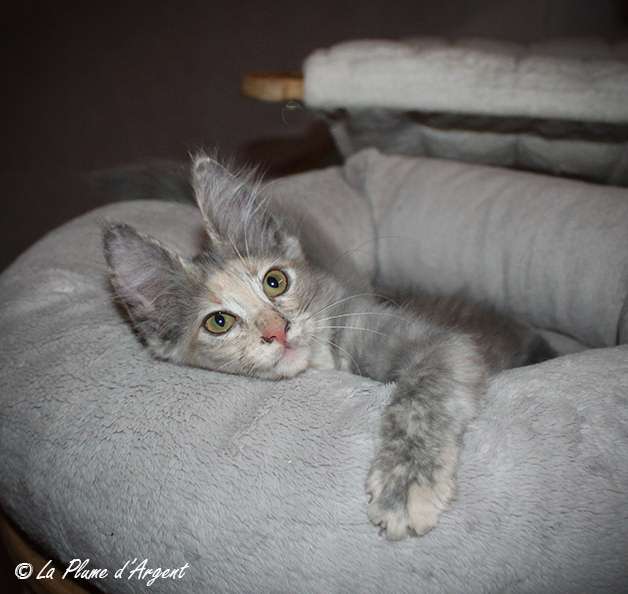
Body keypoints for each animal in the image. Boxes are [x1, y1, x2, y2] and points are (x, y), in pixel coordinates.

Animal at [103, 153, 555, 540]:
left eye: (275, 281)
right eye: (219, 322)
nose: (278, 330)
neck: (324, 361)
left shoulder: (436, 342)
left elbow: (417, 403)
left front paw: (406, 481)